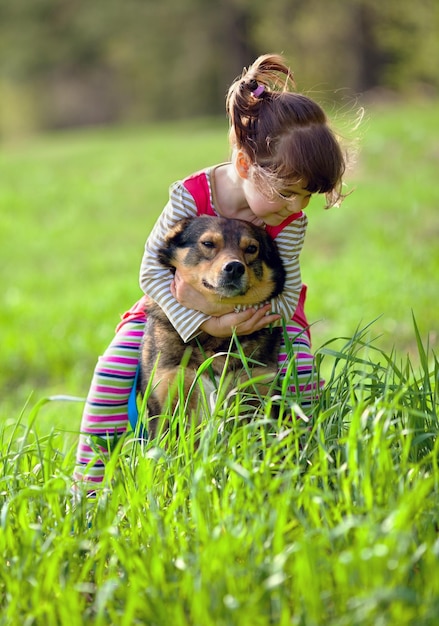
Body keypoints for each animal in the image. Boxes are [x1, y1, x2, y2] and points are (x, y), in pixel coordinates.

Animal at [139, 214, 288, 438]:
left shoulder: (258, 393)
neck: (215, 344)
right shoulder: (166, 398)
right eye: (208, 244)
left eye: (251, 248)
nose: (235, 267)